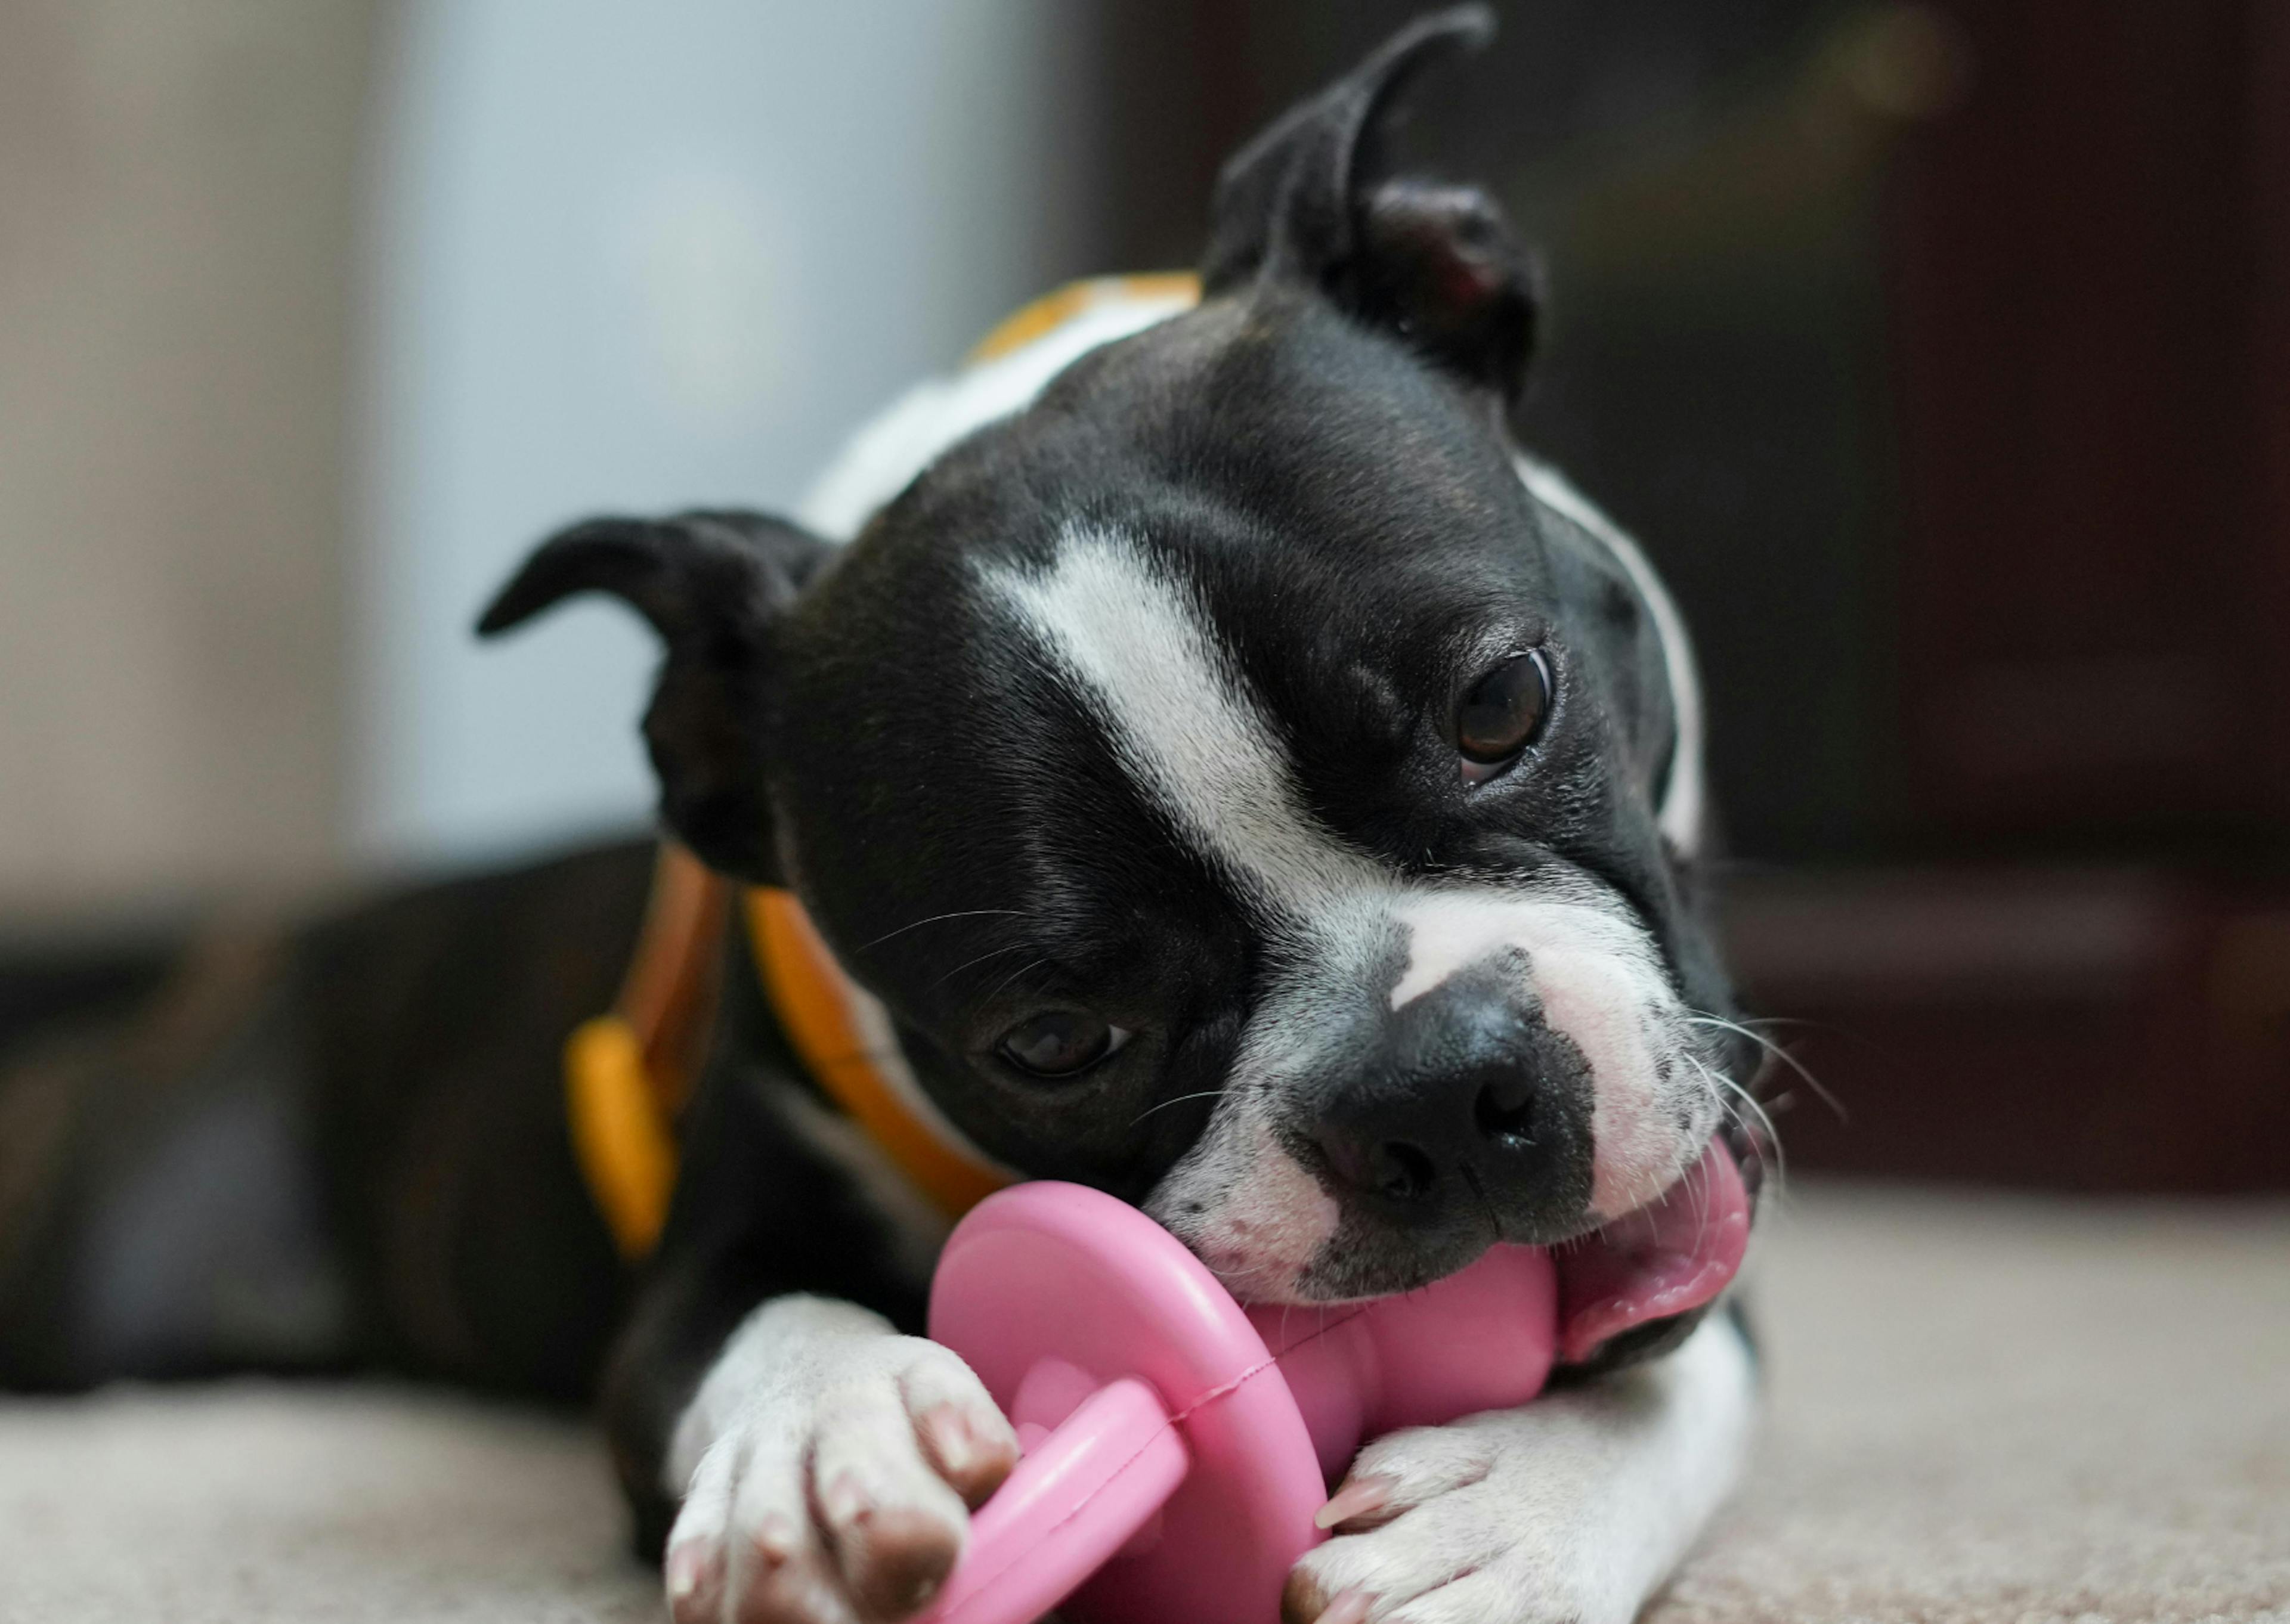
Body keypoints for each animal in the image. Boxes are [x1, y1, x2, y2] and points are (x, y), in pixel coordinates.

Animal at [0, 13, 1768, 1622]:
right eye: (1051, 1042)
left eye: (1501, 705)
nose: (1433, 1088)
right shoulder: (705, 1258)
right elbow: (760, 1318)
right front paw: (822, 1440)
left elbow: (1679, 1362)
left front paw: (1514, 1516)